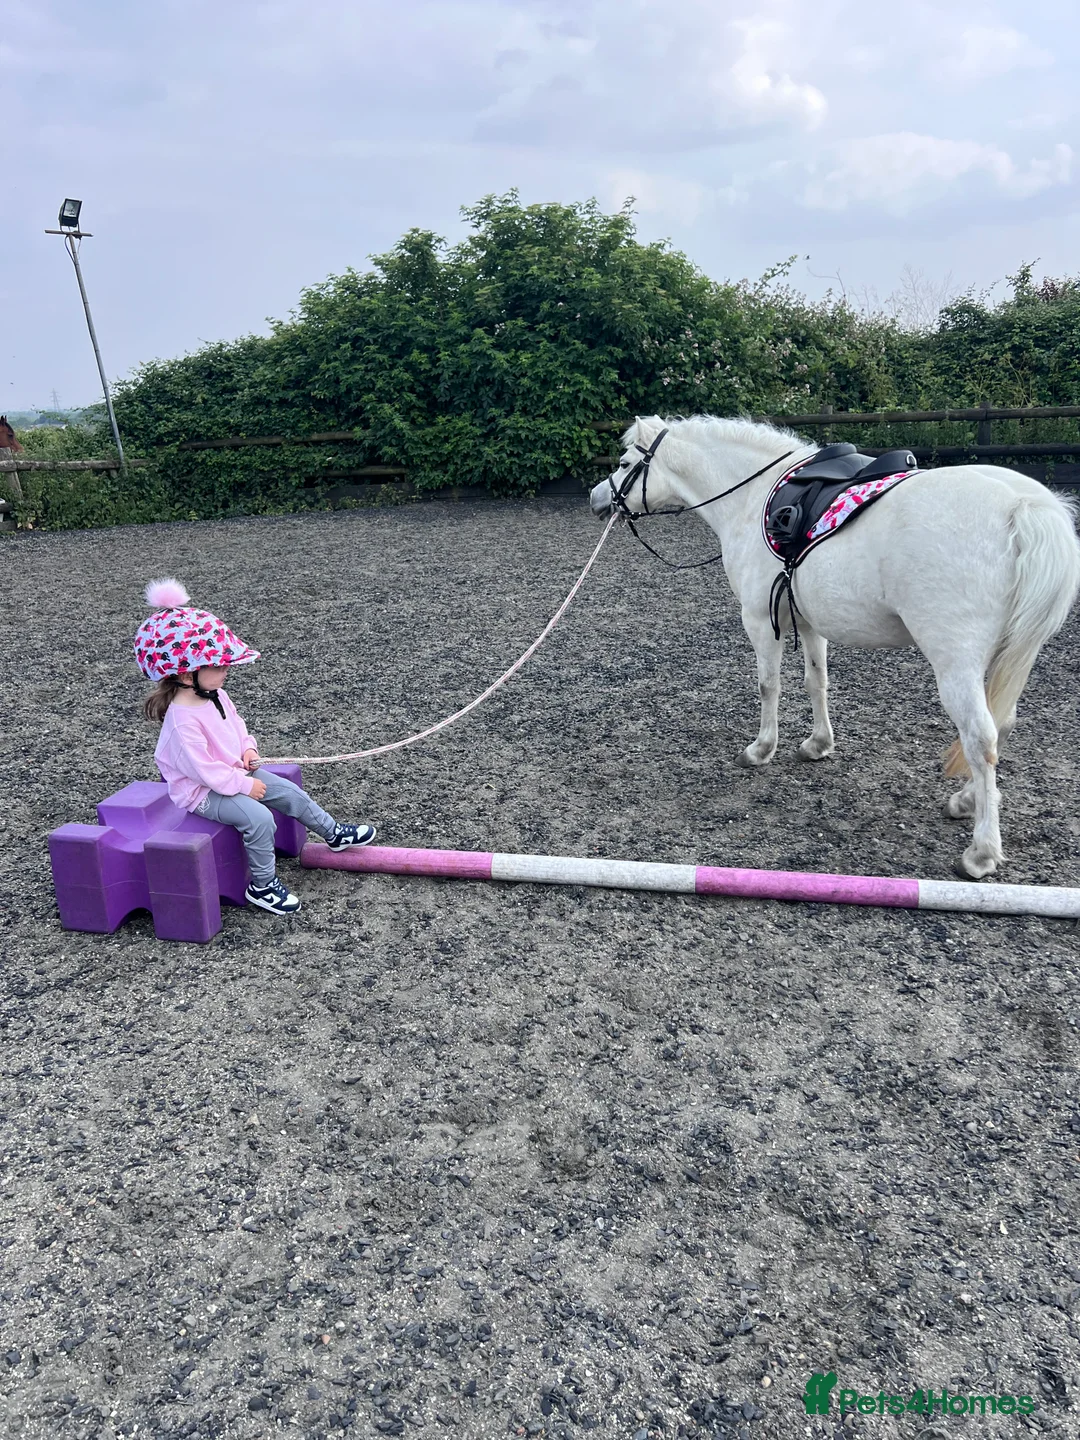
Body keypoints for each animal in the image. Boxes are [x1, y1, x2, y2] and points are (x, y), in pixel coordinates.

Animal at [589, 415, 1080, 879]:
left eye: (625, 463)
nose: (597, 499)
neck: (753, 497)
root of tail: (1022, 506)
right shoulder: (809, 621)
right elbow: (816, 682)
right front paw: (817, 744)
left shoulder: (759, 621)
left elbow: (769, 687)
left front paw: (761, 749)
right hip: (1009, 655)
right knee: (1003, 723)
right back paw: (966, 801)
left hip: (956, 662)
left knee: (981, 738)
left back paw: (981, 853)